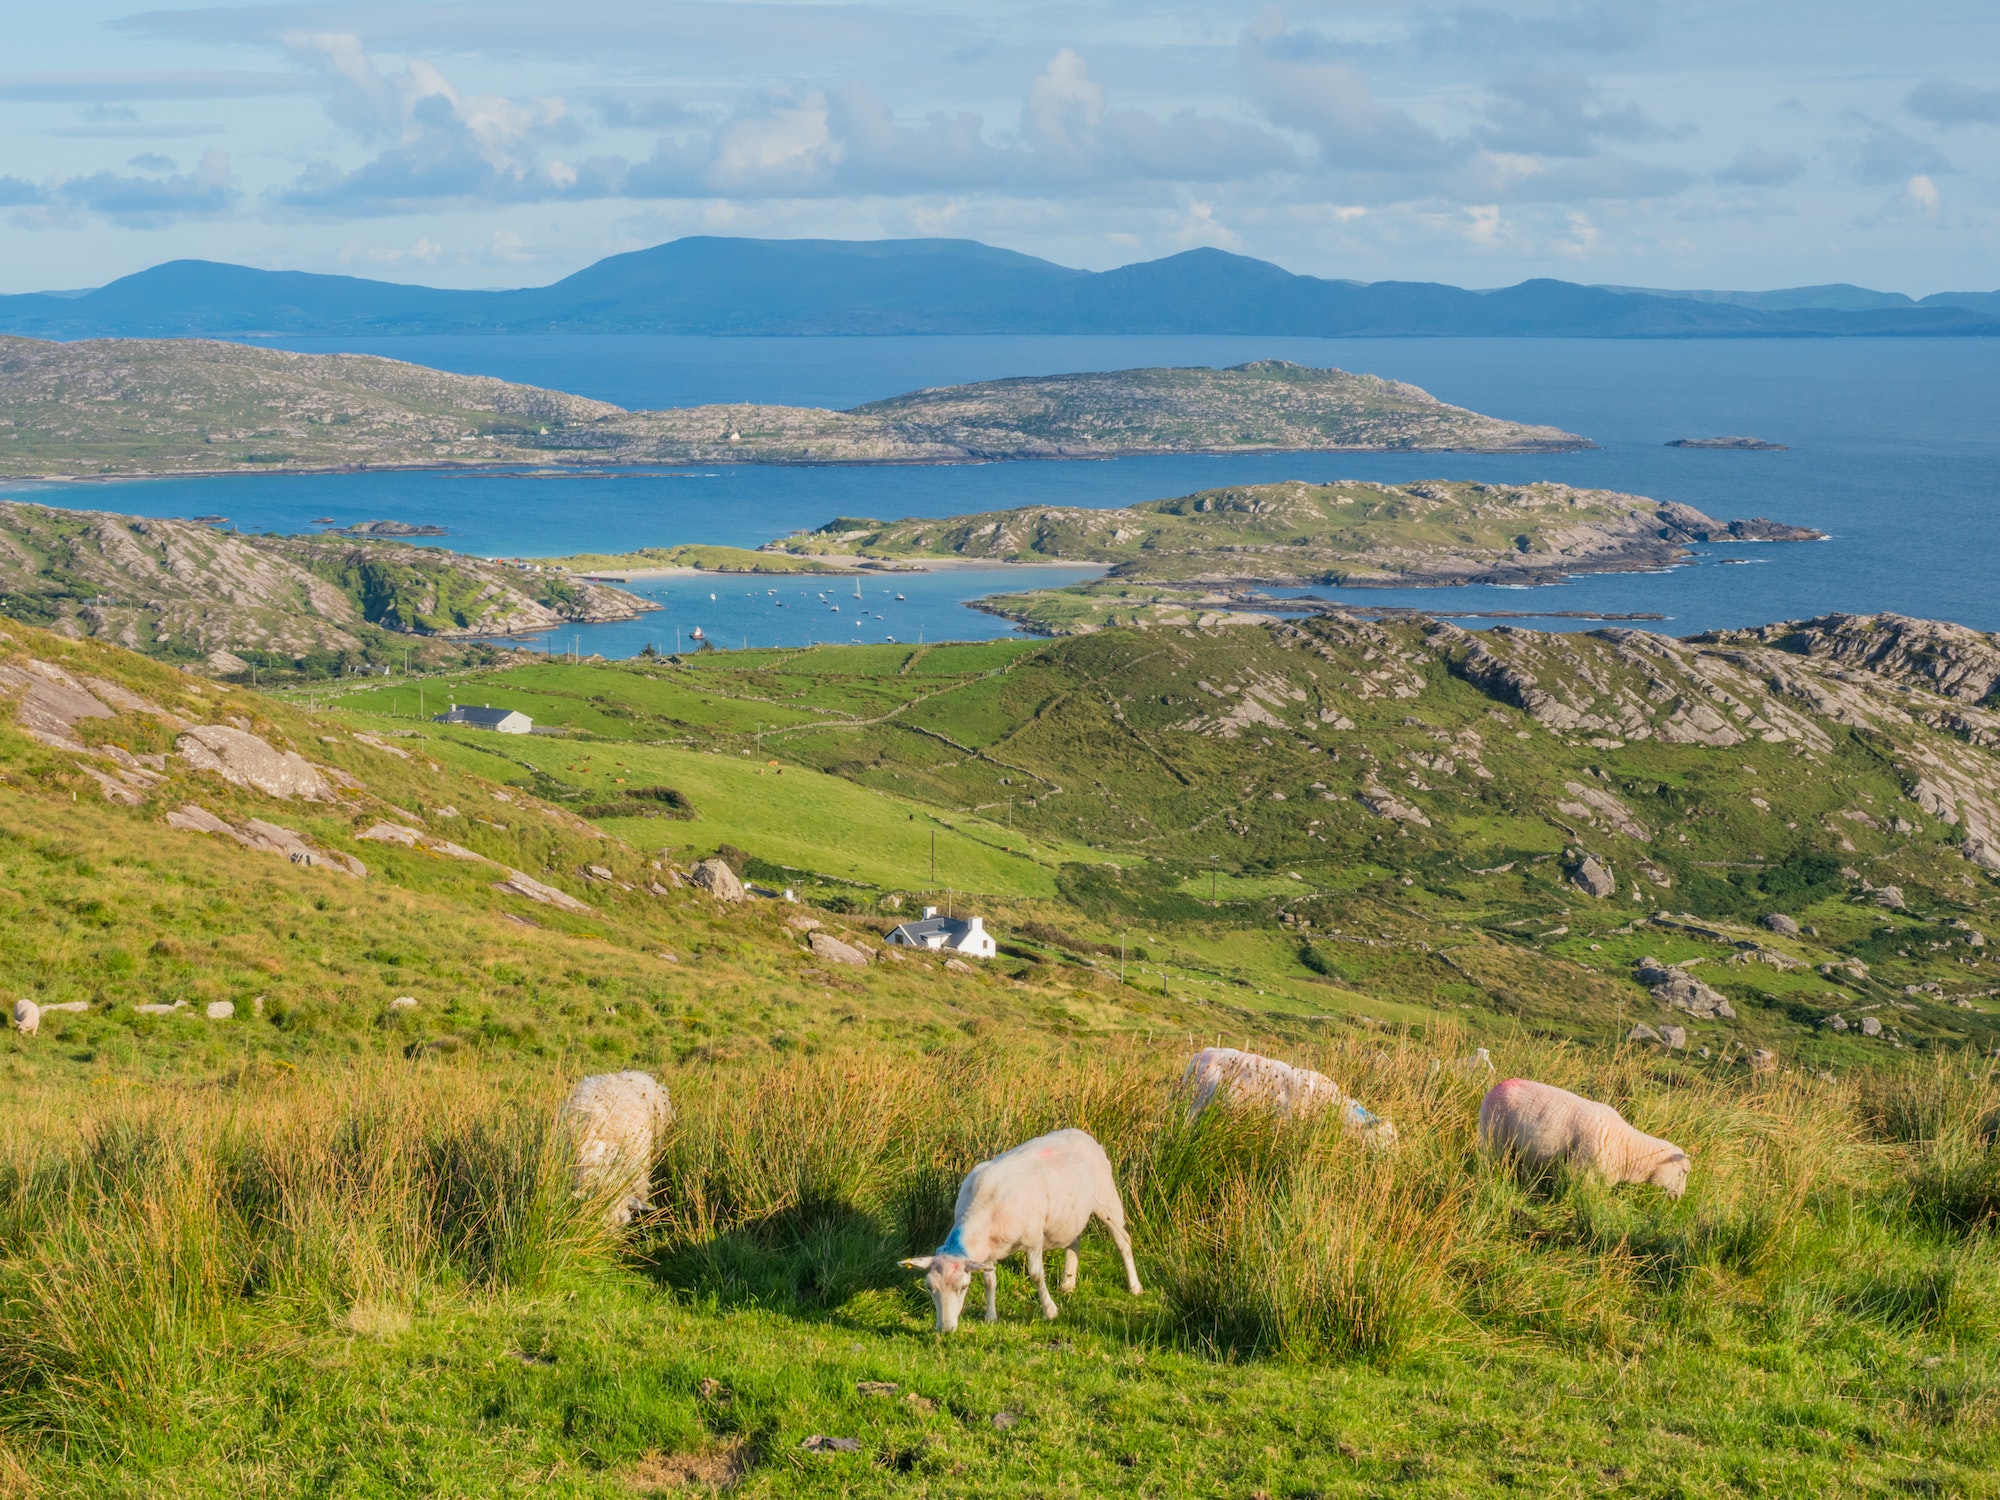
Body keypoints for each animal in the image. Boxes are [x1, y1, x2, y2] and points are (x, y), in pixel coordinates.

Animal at [904, 1128, 1144, 1336]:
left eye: (964, 1287)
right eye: (929, 1287)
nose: (945, 1329)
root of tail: (1080, 1132)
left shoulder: (1033, 1238)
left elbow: (1036, 1275)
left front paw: (1050, 1311)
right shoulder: (989, 1251)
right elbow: (989, 1281)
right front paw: (991, 1317)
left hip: (1106, 1198)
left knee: (1123, 1242)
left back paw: (1135, 1287)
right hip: (1068, 1215)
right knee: (1074, 1242)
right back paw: (1067, 1285)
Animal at [1488, 1072, 1688, 1208]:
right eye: (1683, 1172)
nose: (1680, 1197)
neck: (1627, 1147)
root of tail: (1499, 1084)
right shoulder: (1581, 1168)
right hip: (1493, 1135)